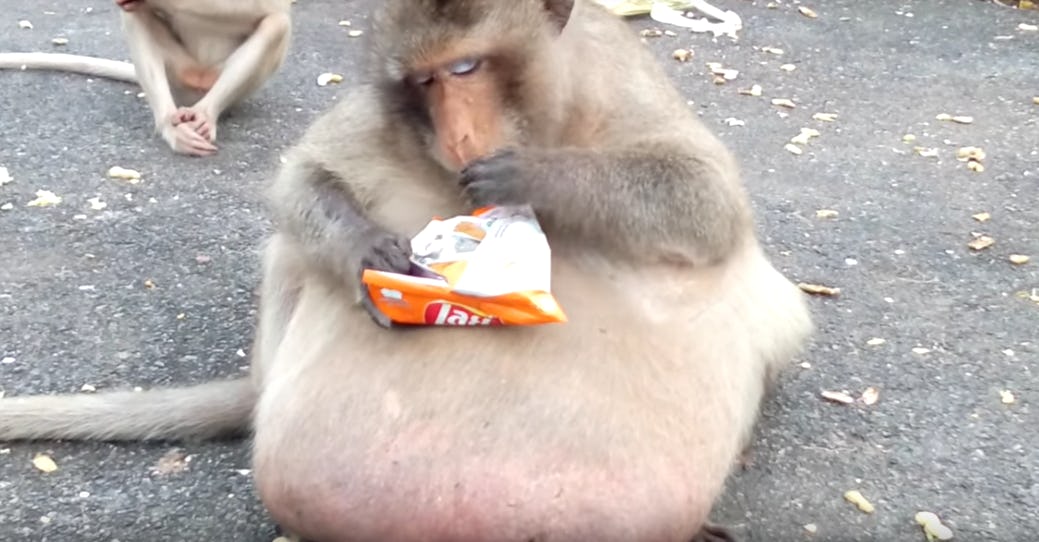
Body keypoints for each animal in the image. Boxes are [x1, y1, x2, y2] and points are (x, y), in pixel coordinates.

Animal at [0, 0, 292, 156]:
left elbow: (266, 7)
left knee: (277, 23)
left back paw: (205, 113)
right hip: (179, 72)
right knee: (133, 17)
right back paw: (171, 127)